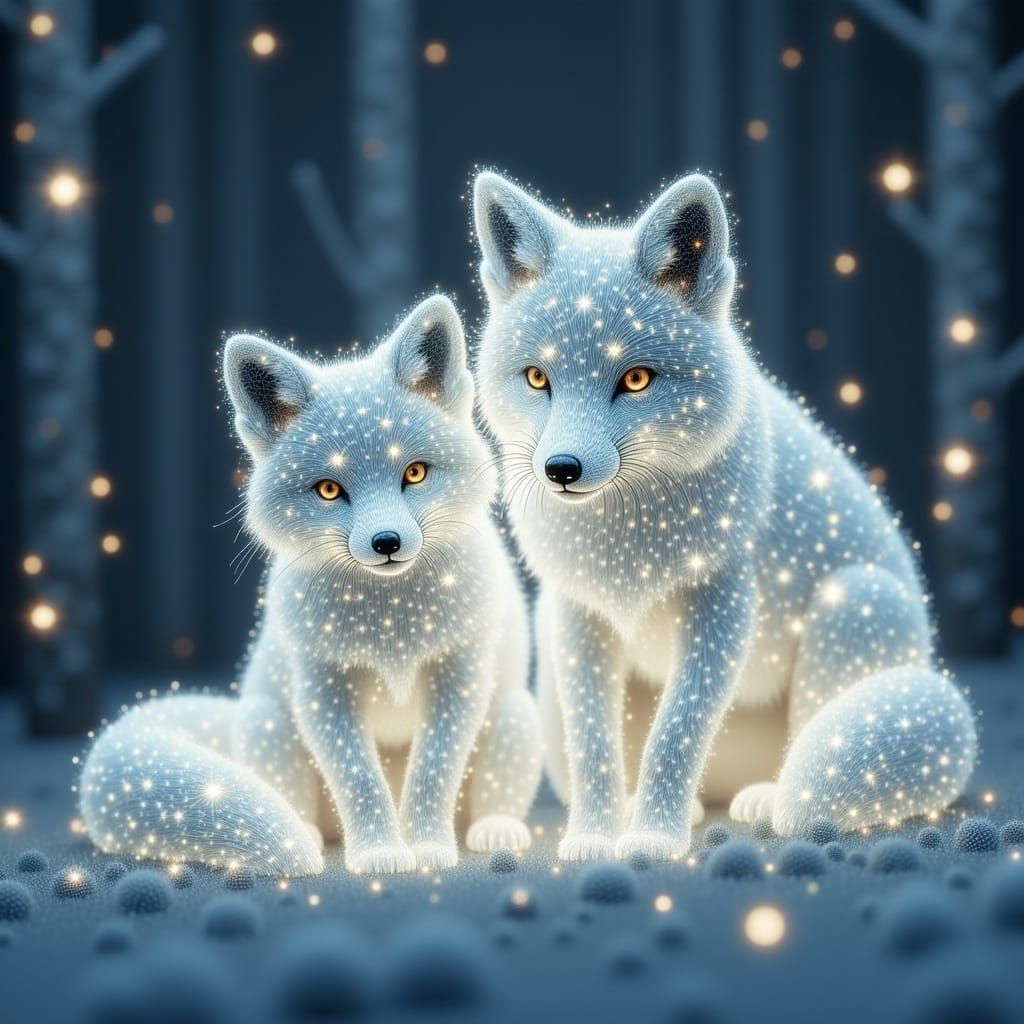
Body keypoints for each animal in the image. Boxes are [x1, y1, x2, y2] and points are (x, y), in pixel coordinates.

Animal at [79, 295, 541, 876]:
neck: (394, 628)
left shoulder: (459, 676)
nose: (386, 543)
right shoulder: (324, 688)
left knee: (493, 800)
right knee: (301, 814)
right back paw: (312, 840)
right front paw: (381, 853)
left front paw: (428, 849)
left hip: (514, 714)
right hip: (270, 727)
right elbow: (360, 783)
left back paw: (494, 830)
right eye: (328, 489)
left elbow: (433, 774)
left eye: (415, 473)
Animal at [472, 170, 977, 863]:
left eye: (635, 379)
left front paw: (652, 841)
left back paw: (761, 799)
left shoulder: (723, 604)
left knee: (805, 746)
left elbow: (678, 734)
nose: (562, 469)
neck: (627, 543)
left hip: (853, 604)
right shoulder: (579, 614)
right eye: (536, 377)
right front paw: (595, 838)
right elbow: (597, 745)